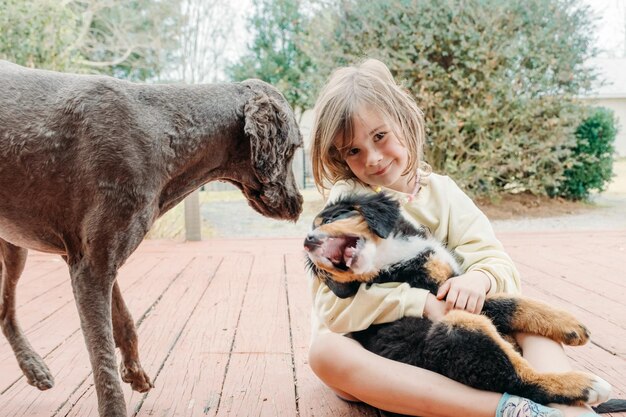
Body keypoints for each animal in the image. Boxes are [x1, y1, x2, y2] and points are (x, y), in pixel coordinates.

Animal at [0, 60, 302, 414]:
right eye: (293, 149)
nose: (298, 206)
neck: (165, 130)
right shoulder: (91, 269)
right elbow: (102, 357)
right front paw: (115, 402)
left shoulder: (93, 259)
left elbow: (125, 322)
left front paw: (134, 371)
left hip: (14, 247)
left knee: (5, 312)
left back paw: (33, 367)